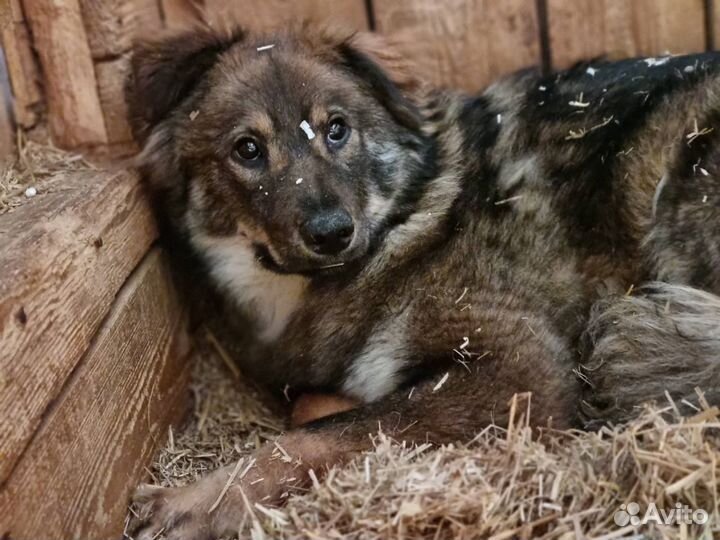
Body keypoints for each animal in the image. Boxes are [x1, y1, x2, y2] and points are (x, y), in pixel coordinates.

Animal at [125, 22, 720, 540]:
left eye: (337, 129)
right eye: (247, 149)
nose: (332, 232)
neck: (412, 216)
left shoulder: (522, 367)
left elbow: (323, 435)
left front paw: (200, 502)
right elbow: (320, 408)